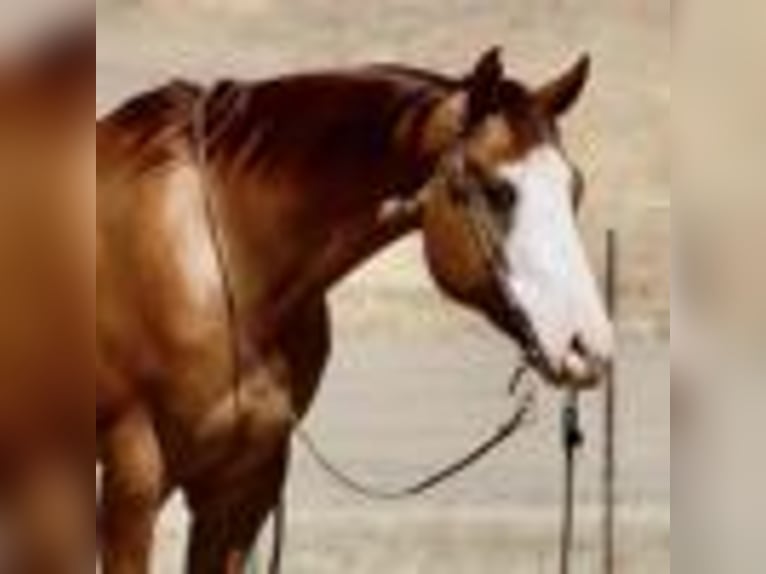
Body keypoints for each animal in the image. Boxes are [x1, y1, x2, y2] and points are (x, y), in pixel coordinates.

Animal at [97, 47, 613, 573]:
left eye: (576, 186)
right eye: (498, 191)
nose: (587, 346)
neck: (225, 260)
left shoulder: (244, 486)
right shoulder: (134, 484)